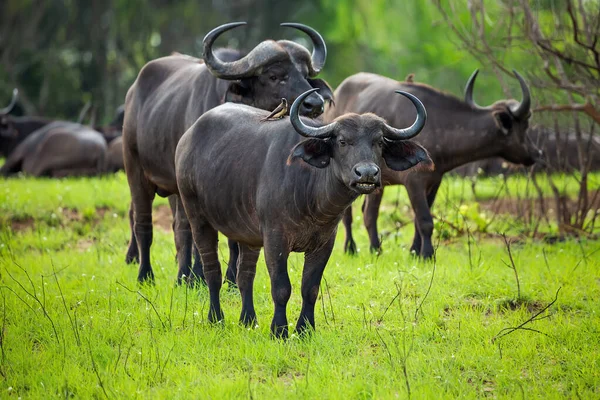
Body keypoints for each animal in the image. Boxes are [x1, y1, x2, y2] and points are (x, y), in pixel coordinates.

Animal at [123, 22, 336, 284]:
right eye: (274, 76)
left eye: (306, 75)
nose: (314, 104)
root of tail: (133, 93)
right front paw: (199, 276)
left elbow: (235, 238)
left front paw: (232, 279)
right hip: (137, 171)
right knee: (146, 223)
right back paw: (149, 274)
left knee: (176, 226)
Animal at [173, 88, 432, 338]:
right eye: (342, 141)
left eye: (378, 142)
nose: (367, 173)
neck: (313, 201)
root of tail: (186, 139)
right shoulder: (275, 240)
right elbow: (281, 288)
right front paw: (279, 330)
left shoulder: (324, 243)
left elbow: (310, 287)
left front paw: (305, 329)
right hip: (197, 217)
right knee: (212, 272)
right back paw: (216, 318)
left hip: (247, 235)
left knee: (245, 275)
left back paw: (248, 321)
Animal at [326, 70, 540, 258]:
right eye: (524, 124)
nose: (536, 153)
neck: (438, 127)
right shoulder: (414, 182)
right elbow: (425, 220)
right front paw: (427, 255)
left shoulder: (434, 182)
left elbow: (417, 220)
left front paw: (414, 252)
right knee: (350, 215)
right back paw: (352, 248)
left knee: (369, 213)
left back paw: (375, 249)